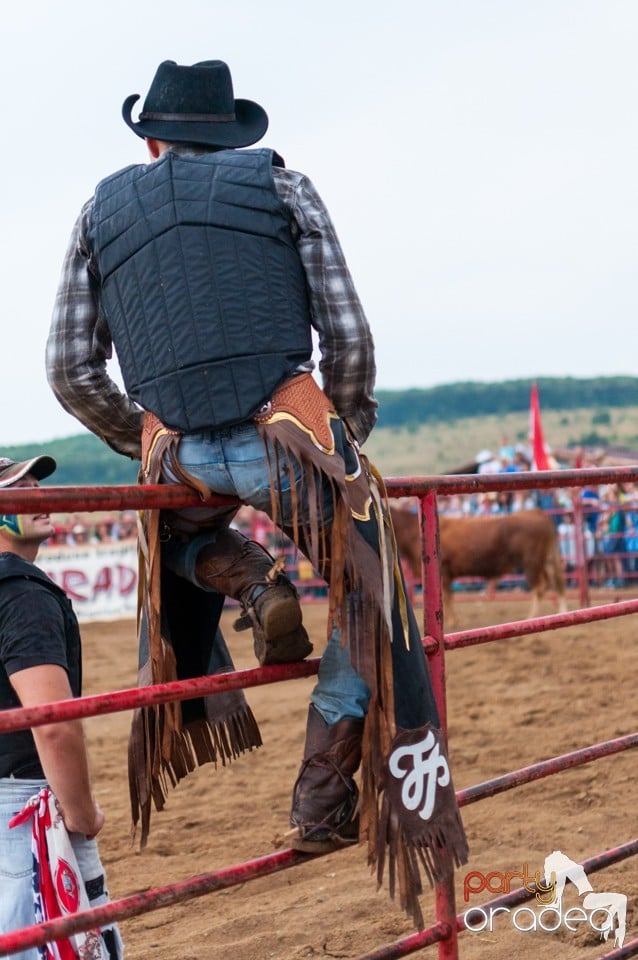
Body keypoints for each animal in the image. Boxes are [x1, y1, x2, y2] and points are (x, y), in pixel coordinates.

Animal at [390, 506, 568, 628]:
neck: (413, 531)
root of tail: (536, 512)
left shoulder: (444, 572)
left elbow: (446, 597)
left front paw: (452, 621)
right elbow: (448, 597)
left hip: (531, 562)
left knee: (540, 587)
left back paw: (532, 617)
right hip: (547, 561)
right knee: (556, 582)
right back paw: (562, 612)